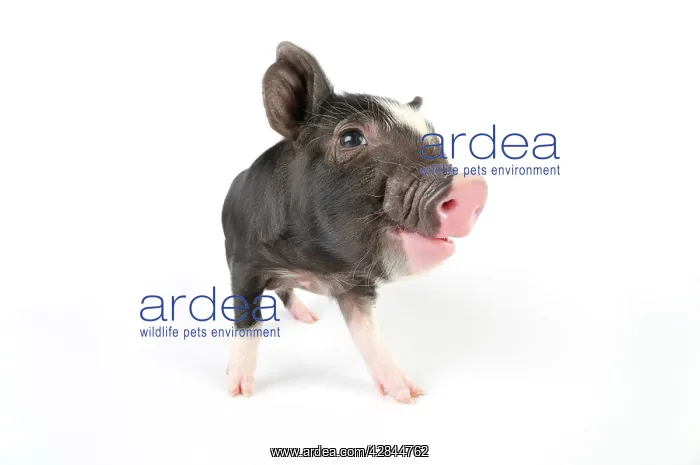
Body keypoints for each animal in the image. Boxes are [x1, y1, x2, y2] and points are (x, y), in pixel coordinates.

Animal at [221, 42, 487, 404]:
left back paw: (310, 319)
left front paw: (410, 394)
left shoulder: (358, 283)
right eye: (350, 138)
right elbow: (247, 322)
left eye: (434, 142)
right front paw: (237, 391)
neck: (315, 264)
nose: (473, 187)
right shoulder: (244, 264)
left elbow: (367, 332)